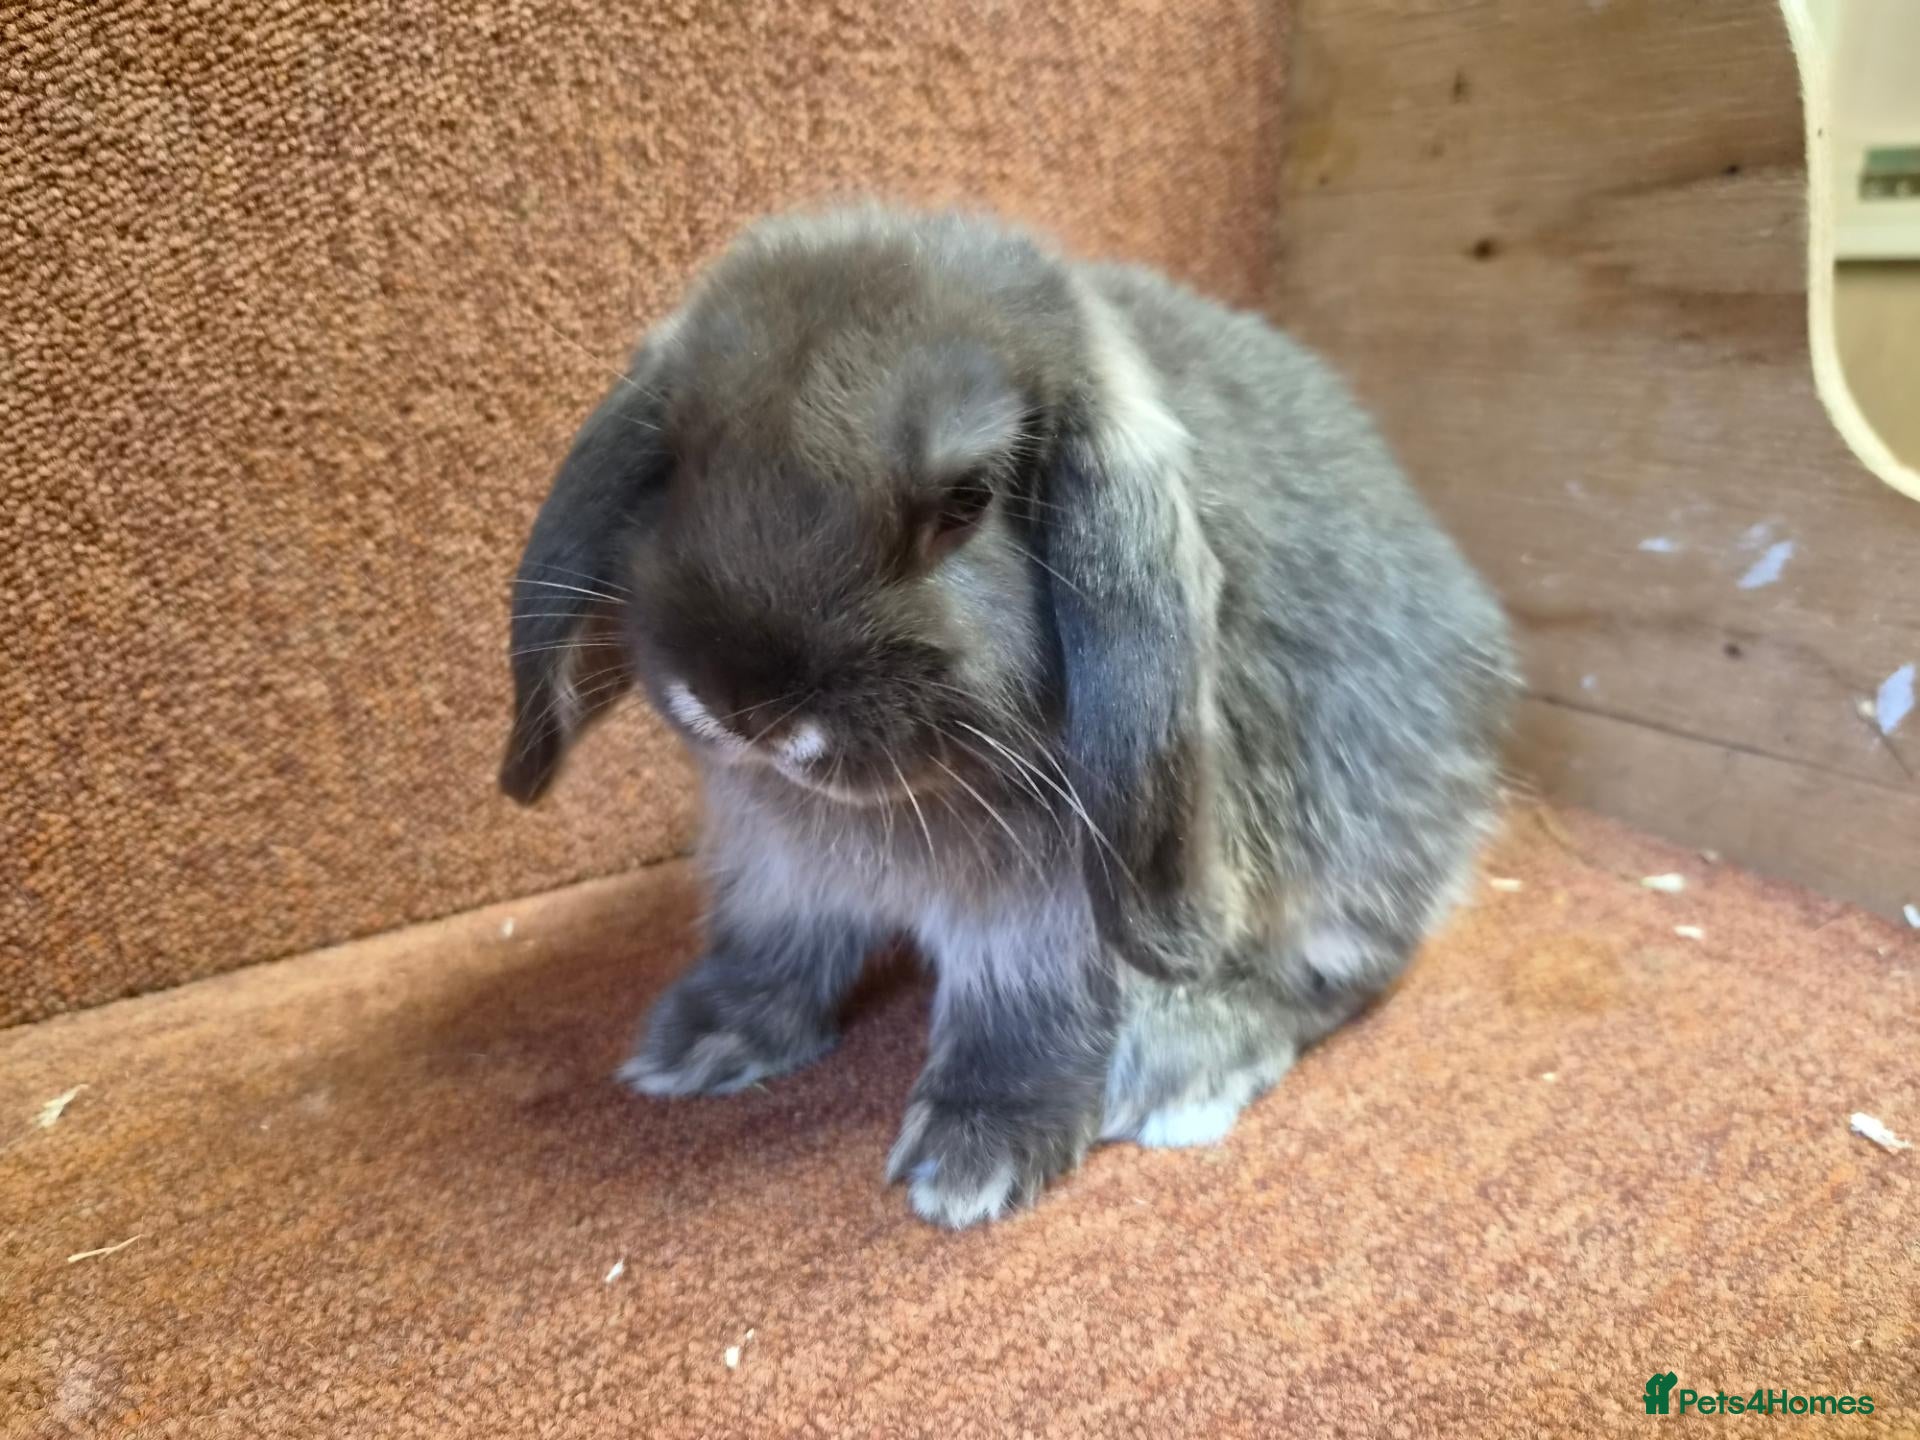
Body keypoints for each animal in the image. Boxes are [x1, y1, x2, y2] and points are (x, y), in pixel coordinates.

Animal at [498, 203, 1517, 1227]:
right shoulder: (776, 864)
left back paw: (1181, 1066)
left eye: (968, 500)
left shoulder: (1053, 907)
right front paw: (701, 1040)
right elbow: (772, 943)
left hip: (1351, 838)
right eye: (679, 458)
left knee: (1340, 973)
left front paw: (973, 1160)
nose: (744, 703)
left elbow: (1019, 1009)